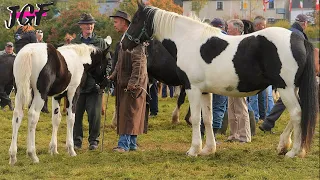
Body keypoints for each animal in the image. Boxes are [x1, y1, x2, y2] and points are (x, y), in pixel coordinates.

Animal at [120, 1, 318, 158]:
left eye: (136, 20)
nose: (123, 43)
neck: (188, 40)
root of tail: (299, 39)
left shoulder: (192, 88)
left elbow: (196, 119)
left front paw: (193, 150)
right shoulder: (204, 91)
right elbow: (207, 119)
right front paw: (208, 149)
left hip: (285, 88)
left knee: (297, 113)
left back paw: (293, 151)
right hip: (292, 88)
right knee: (298, 114)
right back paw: (285, 146)